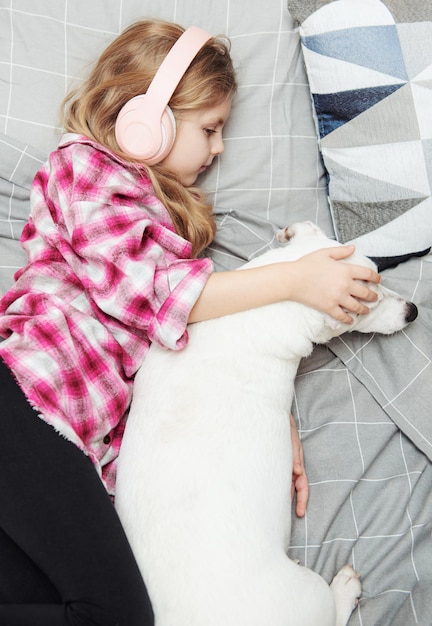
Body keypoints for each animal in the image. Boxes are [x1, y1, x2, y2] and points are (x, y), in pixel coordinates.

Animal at [115, 222, 418, 620]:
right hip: (309, 594)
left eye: (379, 277)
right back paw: (345, 588)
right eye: (366, 304)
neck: (262, 305)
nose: (413, 311)